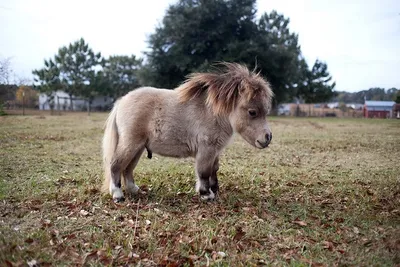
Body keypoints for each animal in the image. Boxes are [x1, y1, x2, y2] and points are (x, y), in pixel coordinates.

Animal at [101, 62, 274, 203]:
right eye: (252, 112)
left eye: (266, 110)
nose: (268, 138)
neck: (212, 113)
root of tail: (121, 101)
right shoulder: (206, 149)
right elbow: (204, 172)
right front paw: (206, 194)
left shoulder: (215, 151)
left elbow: (214, 170)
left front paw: (215, 191)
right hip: (130, 144)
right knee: (116, 165)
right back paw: (118, 195)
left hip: (138, 147)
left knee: (127, 169)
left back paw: (135, 191)